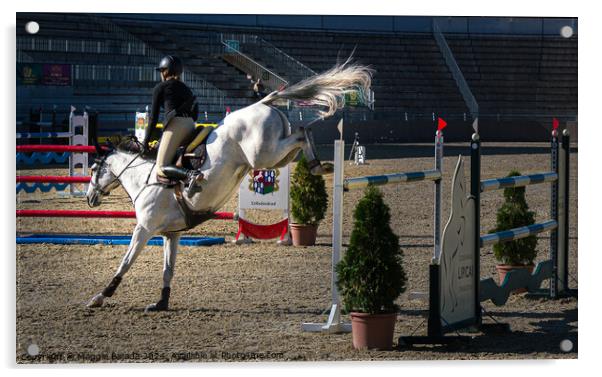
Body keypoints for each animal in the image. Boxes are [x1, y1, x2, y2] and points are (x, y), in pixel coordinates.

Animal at [84, 59, 370, 312]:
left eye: (94, 170)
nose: (90, 198)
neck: (145, 178)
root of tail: (262, 101)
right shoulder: (171, 234)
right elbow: (168, 270)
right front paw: (161, 303)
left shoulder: (144, 228)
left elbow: (125, 263)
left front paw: (100, 296)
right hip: (276, 156)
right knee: (302, 132)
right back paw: (317, 165)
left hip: (262, 155)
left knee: (301, 132)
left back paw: (318, 166)